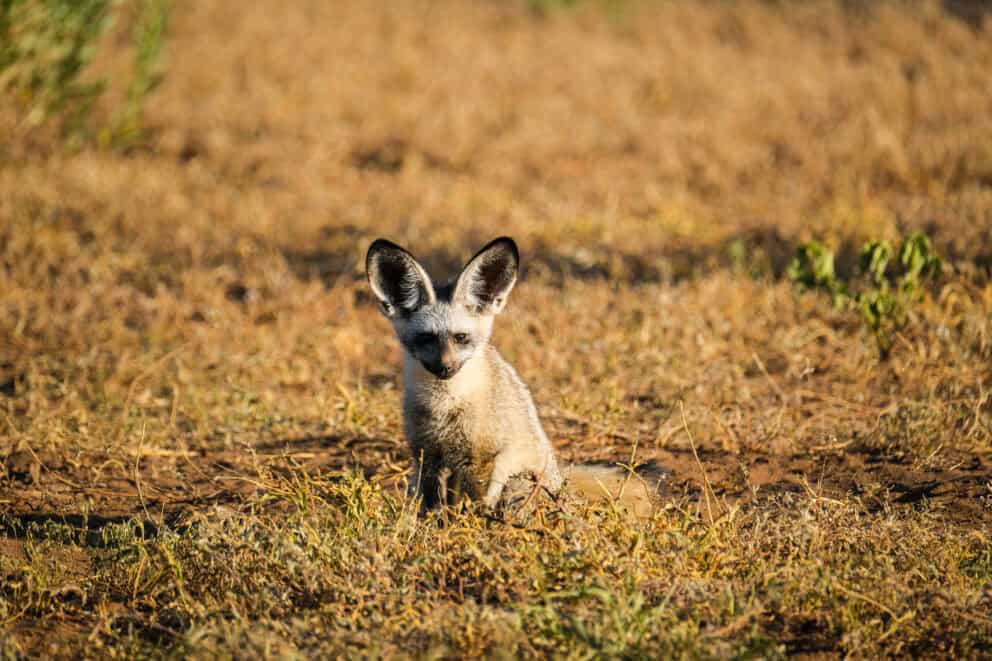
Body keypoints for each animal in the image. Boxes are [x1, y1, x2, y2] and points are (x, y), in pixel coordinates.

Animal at [365, 236, 665, 516]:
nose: (445, 368)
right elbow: (431, 509)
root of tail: (559, 478)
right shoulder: (426, 456)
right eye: (426, 338)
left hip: (518, 479)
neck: (445, 406)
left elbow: (472, 504)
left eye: (461, 338)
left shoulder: (478, 457)